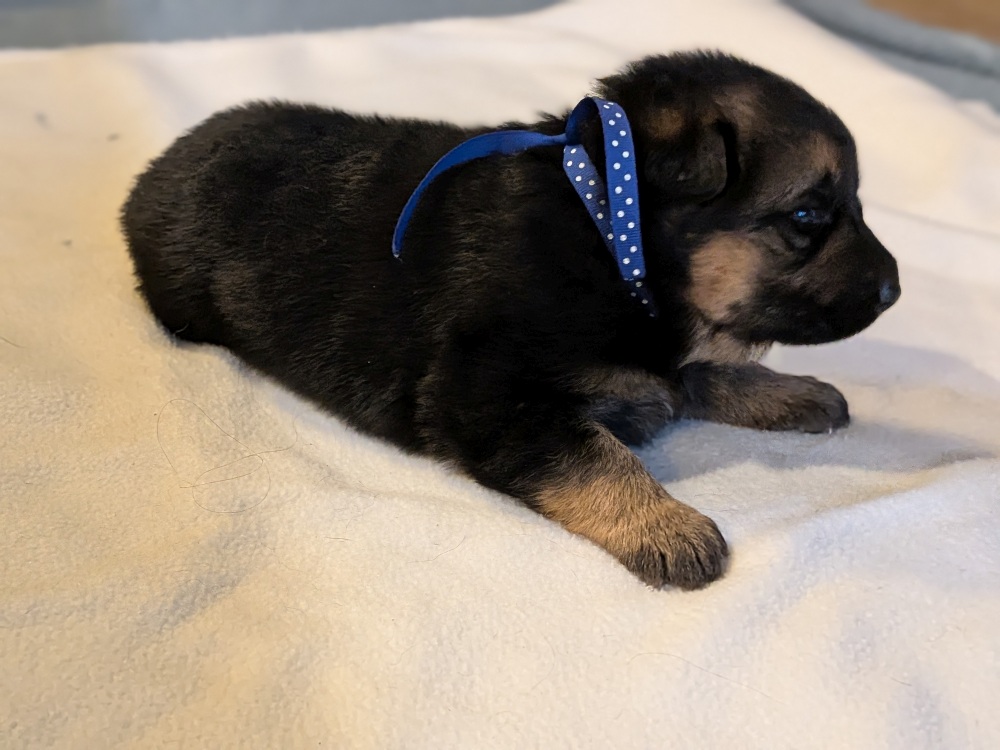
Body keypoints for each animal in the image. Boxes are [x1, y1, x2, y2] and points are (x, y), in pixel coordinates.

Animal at [122, 52, 900, 590]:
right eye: (808, 215)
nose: (894, 290)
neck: (609, 237)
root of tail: (152, 173)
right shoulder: (487, 395)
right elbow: (596, 453)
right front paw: (670, 528)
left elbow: (704, 369)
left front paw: (796, 393)